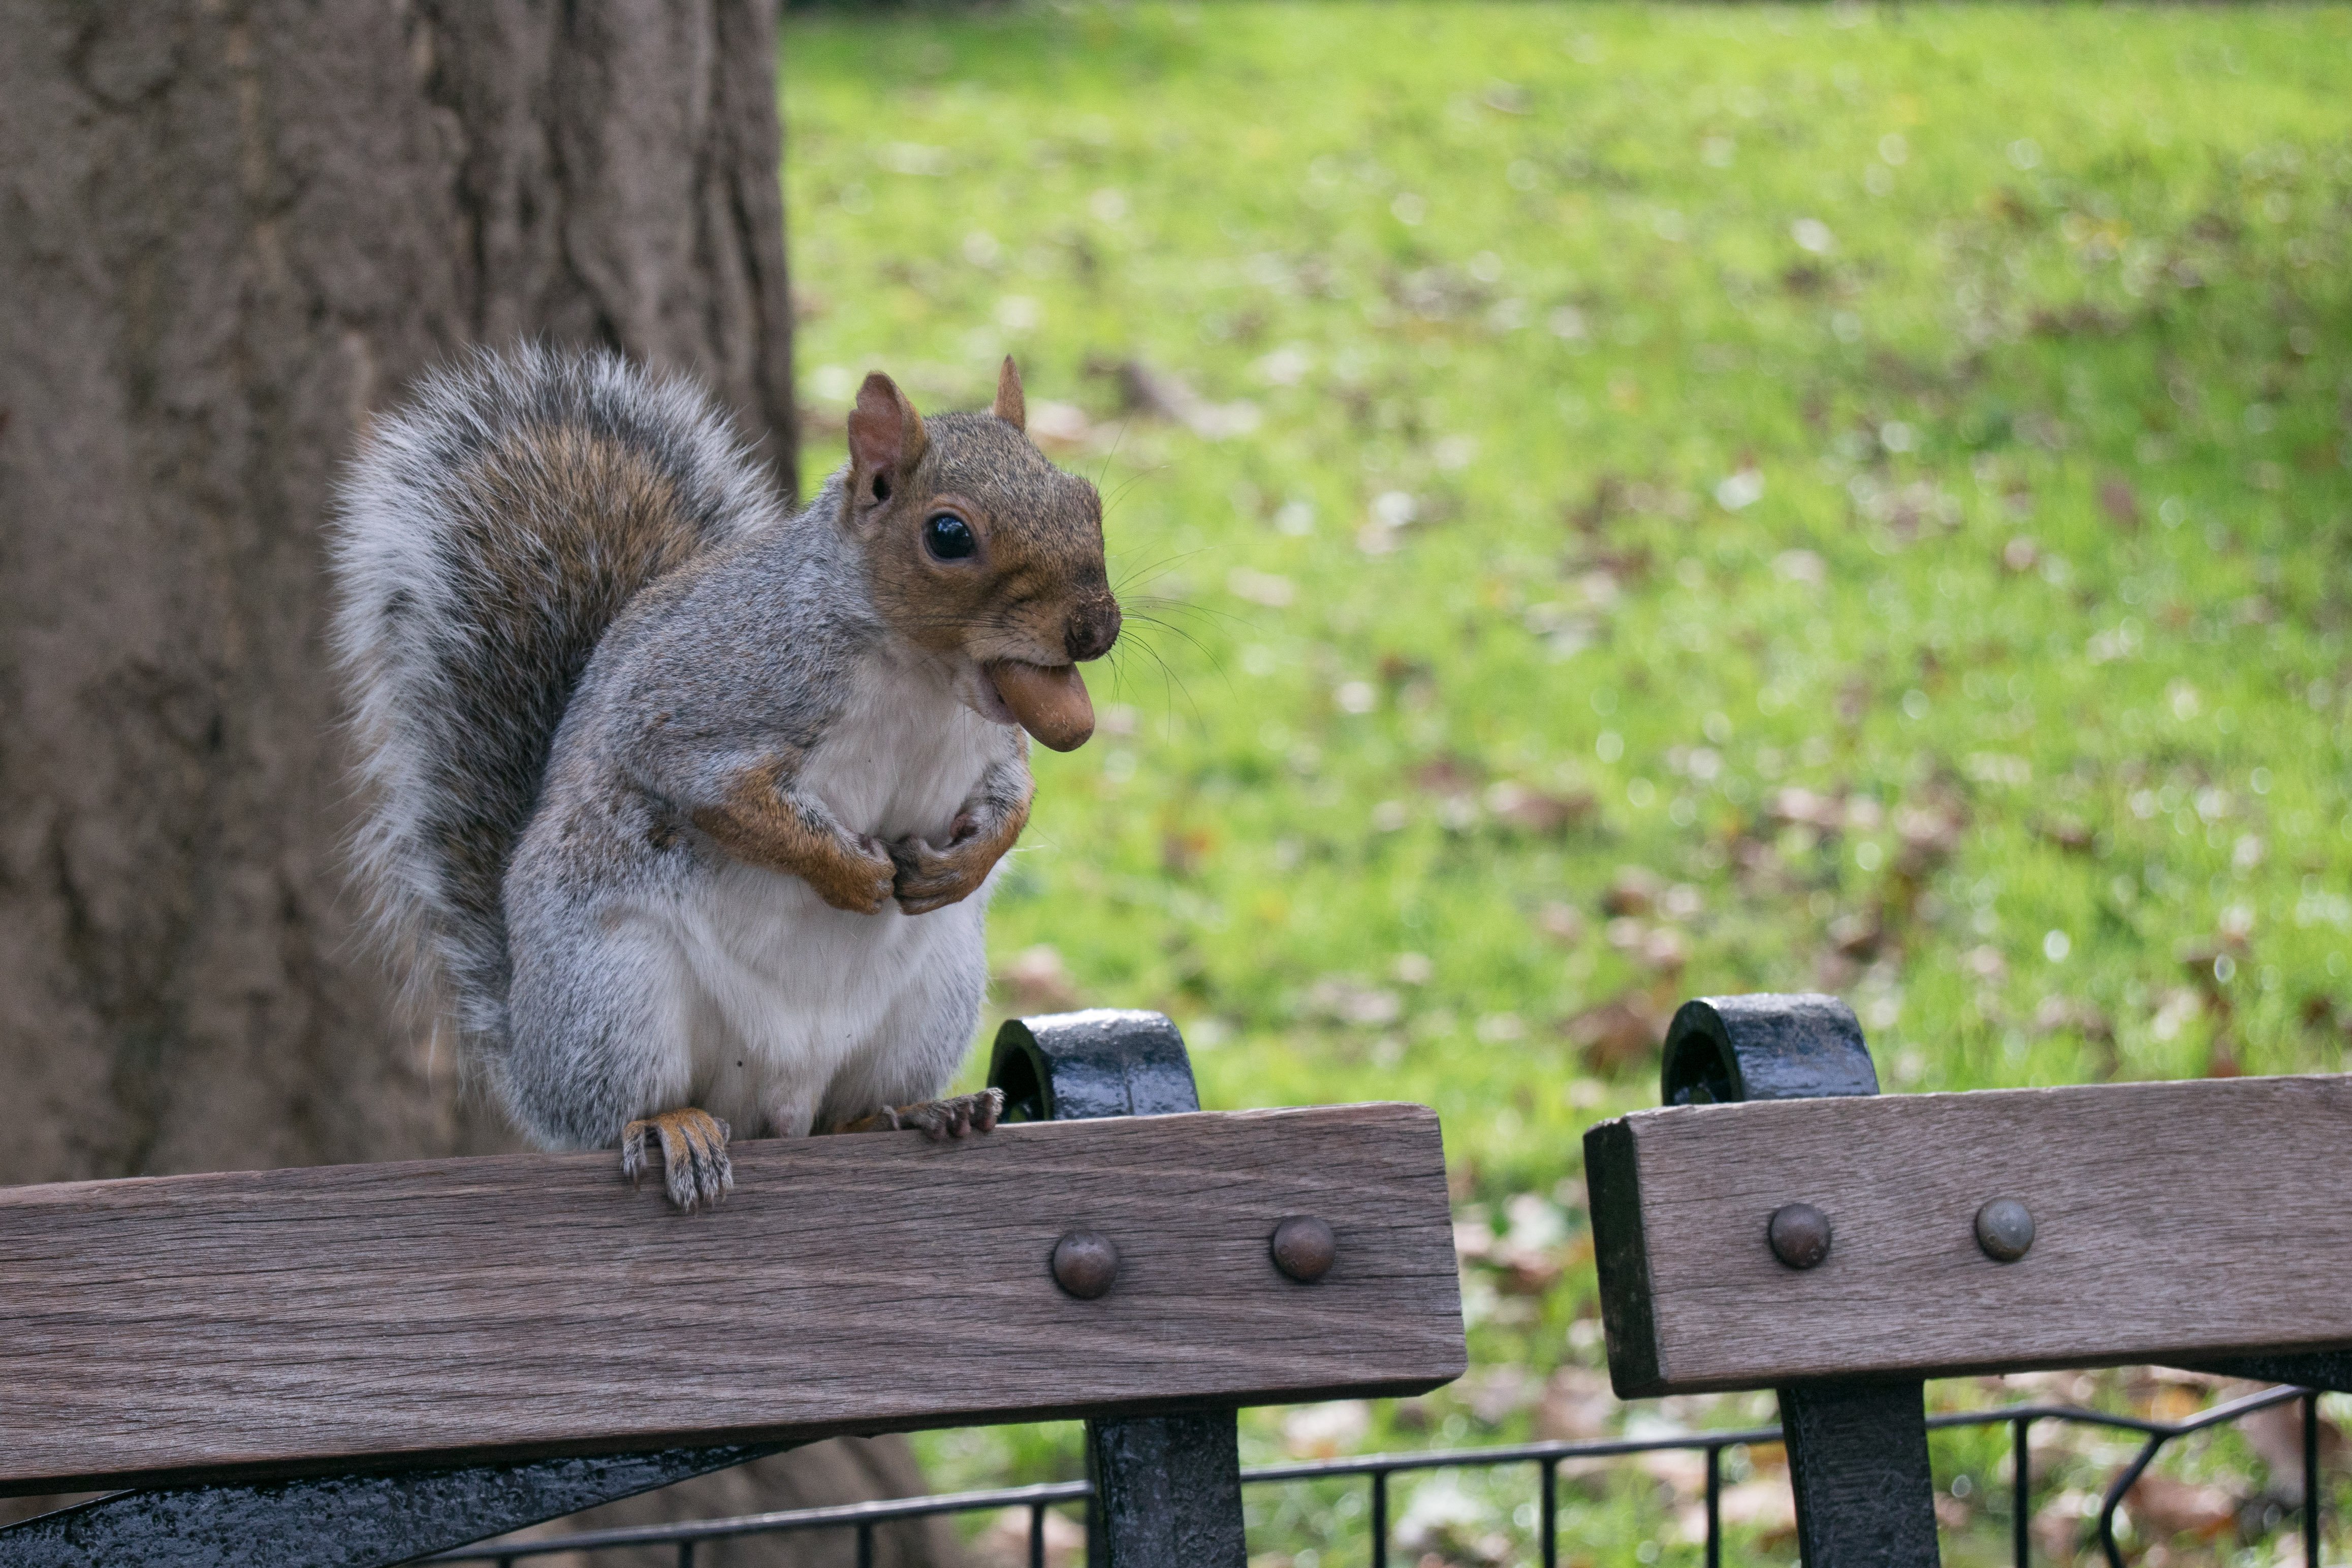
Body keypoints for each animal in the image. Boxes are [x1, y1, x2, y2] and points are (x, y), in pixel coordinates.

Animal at [329, 345, 1119, 1213]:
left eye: (1088, 501)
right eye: (948, 534)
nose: (1095, 628)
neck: (923, 674)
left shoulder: (993, 743)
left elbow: (1013, 797)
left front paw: (960, 867)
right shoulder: (706, 700)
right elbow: (715, 792)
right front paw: (849, 874)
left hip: (929, 1002)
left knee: (848, 1113)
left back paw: (921, 1110)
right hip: (615, 994)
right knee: (617, 1110)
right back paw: (672, 1125)